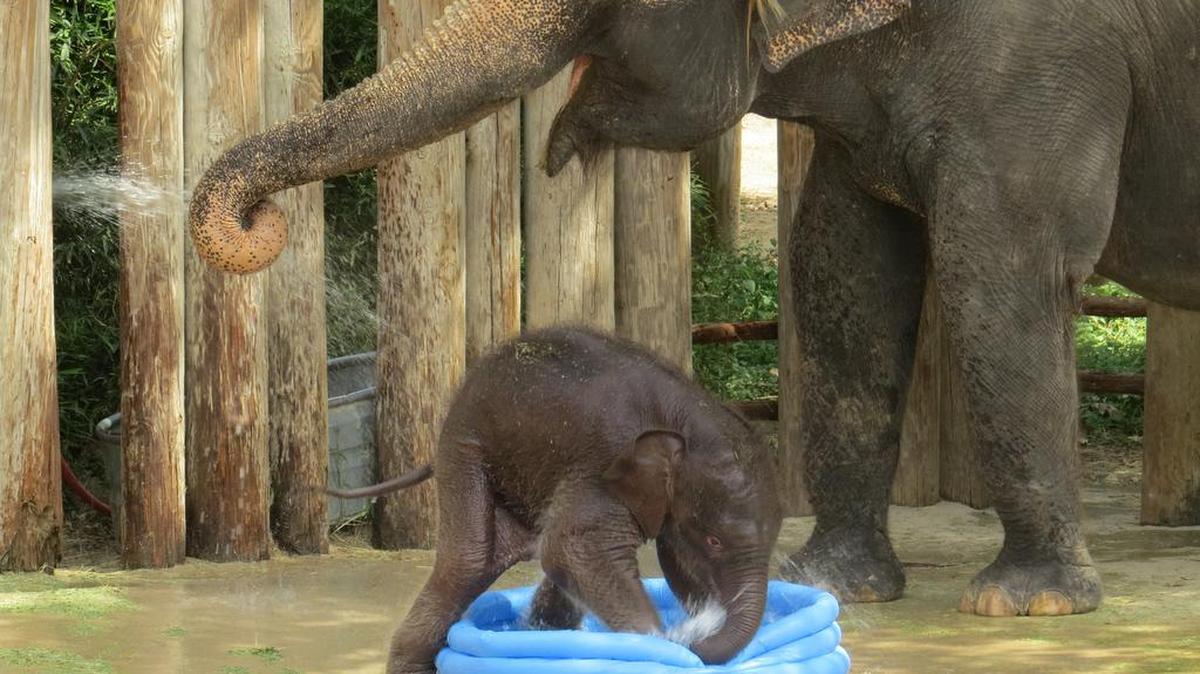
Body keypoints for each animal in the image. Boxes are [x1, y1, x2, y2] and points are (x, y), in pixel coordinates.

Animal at [188, 0, 1200, 622]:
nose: (259, 218)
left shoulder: (1043, 60)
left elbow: (1002, 268)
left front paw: (1026, 604)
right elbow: (842, 267)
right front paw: (825, 584)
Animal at [327, 327, 782, 673]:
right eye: (714, 542)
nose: (697, 643)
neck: (689, 415)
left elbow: (665, 567)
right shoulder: (603, 467)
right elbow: (575, 549)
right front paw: (661, 645)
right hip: (465, 448)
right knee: (469, 562)